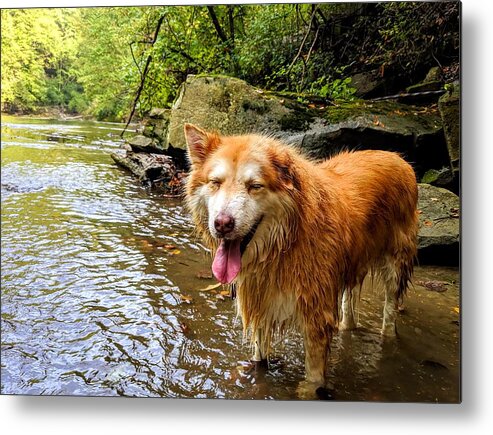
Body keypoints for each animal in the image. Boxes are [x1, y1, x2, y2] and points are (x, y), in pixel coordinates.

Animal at [183, 124, 418, 400]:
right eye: (215, 183)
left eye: (255, 186)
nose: (222, 224)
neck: (283, 246)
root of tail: (398, 157)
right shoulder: (260, 299)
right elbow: (259, 357)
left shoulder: (316, 311)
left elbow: (314, 372)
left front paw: (310, 390)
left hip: (395, 265)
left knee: (390, 310)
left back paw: (387, 337)